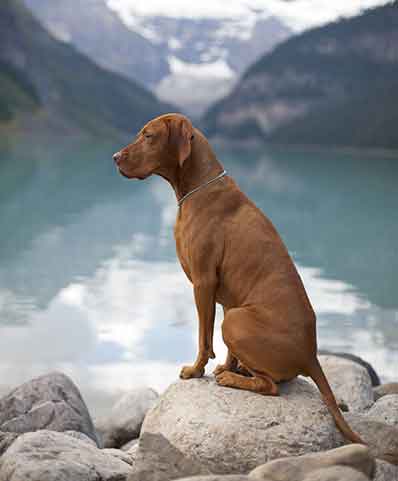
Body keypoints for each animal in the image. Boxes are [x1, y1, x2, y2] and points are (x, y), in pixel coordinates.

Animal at [112, 114, 364, 444]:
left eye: (149, 136)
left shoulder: (203, 283)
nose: (115, 157)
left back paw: (233, 378)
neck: (197, 187)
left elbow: (203, 338)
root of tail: (312, 355)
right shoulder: (225, 297)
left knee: (269, 386)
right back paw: (238, 370)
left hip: (236, 320)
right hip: (235, 315)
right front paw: (225, 365)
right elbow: (223, 347)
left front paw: (196, 371)